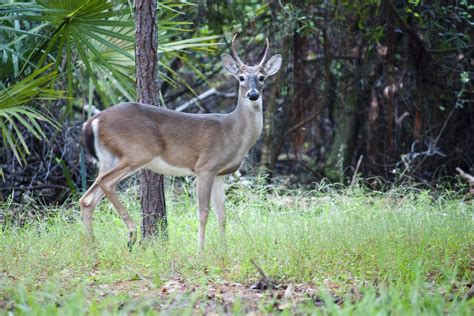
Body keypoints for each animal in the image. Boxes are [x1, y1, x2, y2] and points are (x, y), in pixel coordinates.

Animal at [78, 34, 282, 252]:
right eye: (241, 77)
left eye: (262, 77)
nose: (253, 94)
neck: (233, 132)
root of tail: (93, 120)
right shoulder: (205, 167)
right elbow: (203, 213)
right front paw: (200, 250)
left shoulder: (220, 173)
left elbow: (223, 215)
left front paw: (224, 250)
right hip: (136, 153)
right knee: (105, 183)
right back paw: (131, 232)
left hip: (108, 158)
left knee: (87, 198)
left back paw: (93, 247)